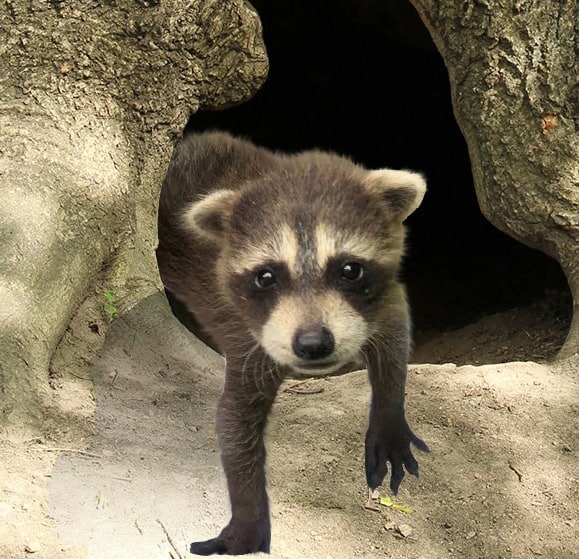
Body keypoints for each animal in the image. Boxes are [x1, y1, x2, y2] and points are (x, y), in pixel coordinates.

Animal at [156, 131, 428, 556]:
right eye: (266, 276)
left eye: (350, 269)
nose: (314, 343)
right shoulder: (250, 336)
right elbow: (233, 419)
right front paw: (248, 515)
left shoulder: (375, 298)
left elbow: (394, 324)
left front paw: (388, 413)